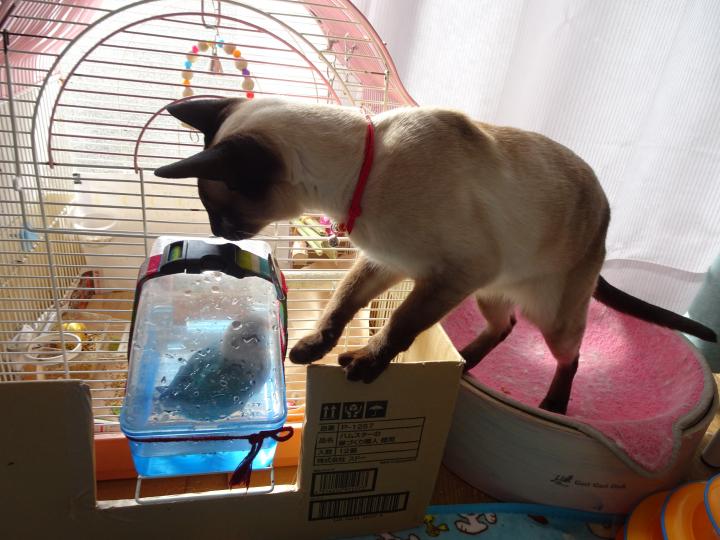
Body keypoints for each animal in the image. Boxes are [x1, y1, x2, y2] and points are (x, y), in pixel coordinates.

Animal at [155, 97, 716, 414]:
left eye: (217, 211)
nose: (217, 233)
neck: (364, 174)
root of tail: (604, 208)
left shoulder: (444, 274)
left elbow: (399, 323)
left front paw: (366, 362)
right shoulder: (389, 261)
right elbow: (343, 304)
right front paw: (315, 347)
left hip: (544, 311)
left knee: (567, 354)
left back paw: (553, 404)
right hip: (488, 291)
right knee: (504, 326)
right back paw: (466, 364)